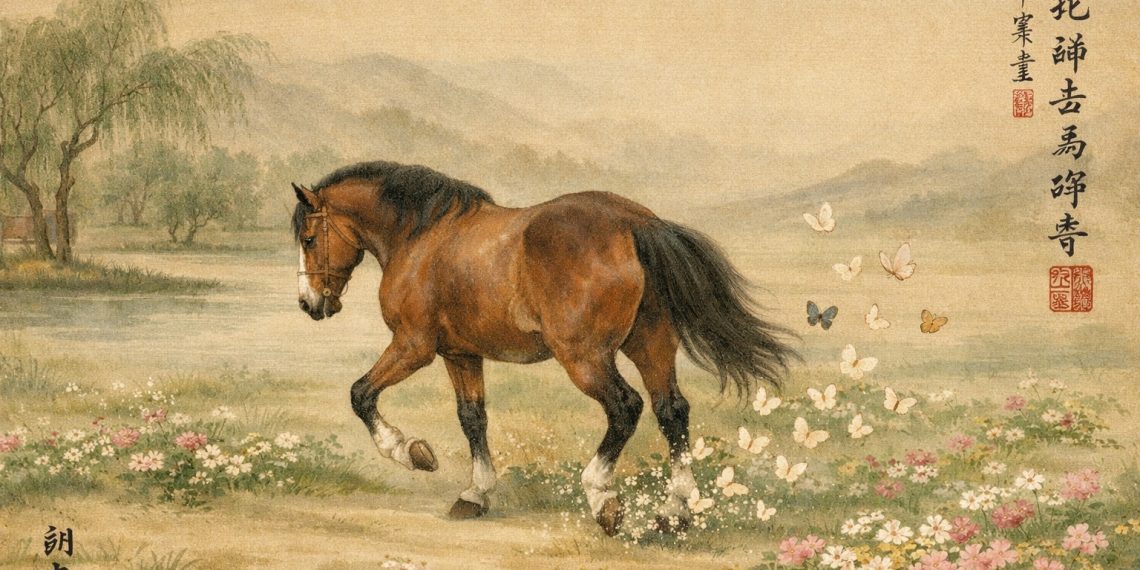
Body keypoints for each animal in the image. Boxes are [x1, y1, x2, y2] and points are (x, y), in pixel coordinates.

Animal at [291, 161, 796, 536]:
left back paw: (602, 499)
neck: (423, 237)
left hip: (584, 357)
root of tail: (636, 224)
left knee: (626, 407)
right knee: (671, 410)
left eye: (309, 238)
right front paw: (475, 494)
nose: (310, 304)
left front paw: (411, 451)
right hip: (651, 344)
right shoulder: (461, 354)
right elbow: (472, 418)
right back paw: (675, 513)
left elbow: (361, 394)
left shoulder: (413, 346)